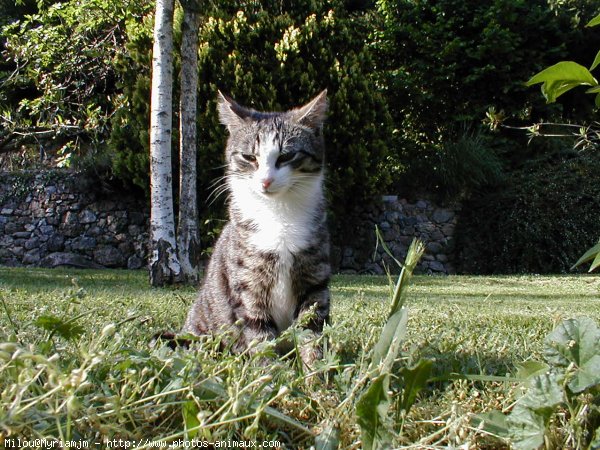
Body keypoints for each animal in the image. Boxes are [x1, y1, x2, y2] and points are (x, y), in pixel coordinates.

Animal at [183, 89, 332, 368]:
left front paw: (316, 374)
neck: (278, 213)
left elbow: (312, 331)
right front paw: (272, 374)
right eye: (249, 157)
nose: (266, 181)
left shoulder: (314, 282)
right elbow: (260, 336)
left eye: (286, 156)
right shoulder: (248, 285)